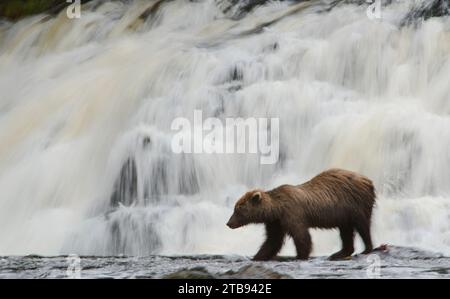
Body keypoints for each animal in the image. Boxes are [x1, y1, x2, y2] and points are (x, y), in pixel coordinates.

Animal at [225, 170, 376, 262]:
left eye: (238, 210)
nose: (229, 223)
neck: (276, 209)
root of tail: (368, 180)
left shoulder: (293, 214)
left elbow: (302, 236)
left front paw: (300, 256)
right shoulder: (276, 222)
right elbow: (273, 241)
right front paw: (257, 257)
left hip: (355, 204)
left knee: (363, 225)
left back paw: (366, 248)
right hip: (344, 213)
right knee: (346, 230)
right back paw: (340, 253)